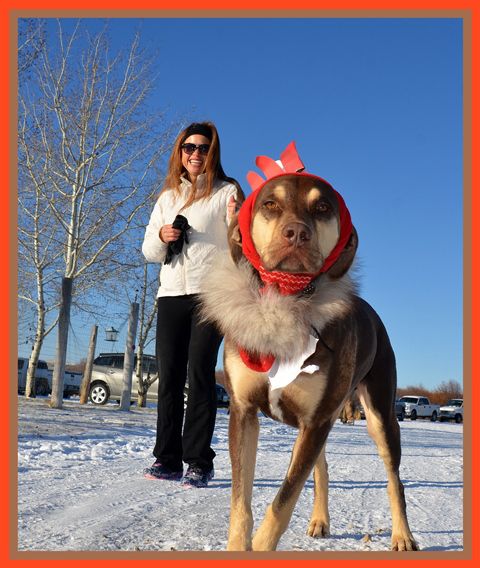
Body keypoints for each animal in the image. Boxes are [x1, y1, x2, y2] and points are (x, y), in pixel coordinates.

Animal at [199, 144, 416, 552]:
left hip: (379, 415)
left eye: (322, 208)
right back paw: (320, 520)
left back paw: (403, 536)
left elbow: (282, 502)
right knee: (322, 467)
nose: (297, 233)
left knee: (394, 478)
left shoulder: (316, 420)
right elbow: (241, 501)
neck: (284, 303)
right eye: (269, 204)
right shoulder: (244, 411)